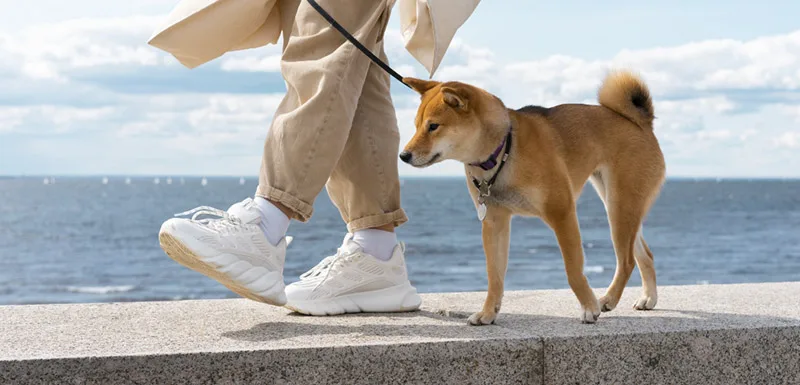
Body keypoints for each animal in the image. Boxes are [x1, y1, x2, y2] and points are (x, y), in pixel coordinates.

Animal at [400, 70, 668, 322]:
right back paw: (648, 298)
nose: (403, 155)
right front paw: (488, 313)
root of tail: (641, 123)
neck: (504, 150)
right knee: (645, 255)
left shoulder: (562, 212)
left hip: (620, 206)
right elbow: (494, 276)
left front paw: (589, 308)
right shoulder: (494, 221)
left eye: (433, 126)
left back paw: (608, 300)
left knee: (627, 260)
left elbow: (573, 270)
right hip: (620, 205)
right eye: (416, 125)